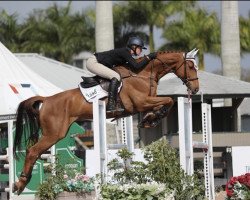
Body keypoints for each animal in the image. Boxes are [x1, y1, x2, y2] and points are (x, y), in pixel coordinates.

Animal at [12, 48, 199, 194]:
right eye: (190, 66)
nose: (196, 89)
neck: (143, 74)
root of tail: (47, 99)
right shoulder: (141, 102)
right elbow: (169, 100)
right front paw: (152, 118)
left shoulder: (145, 103)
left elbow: (166, 103)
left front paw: (149, 119)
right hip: (54, 133)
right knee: (32, 151)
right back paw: (20, 184)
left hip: (53, 133)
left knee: (34, 151)